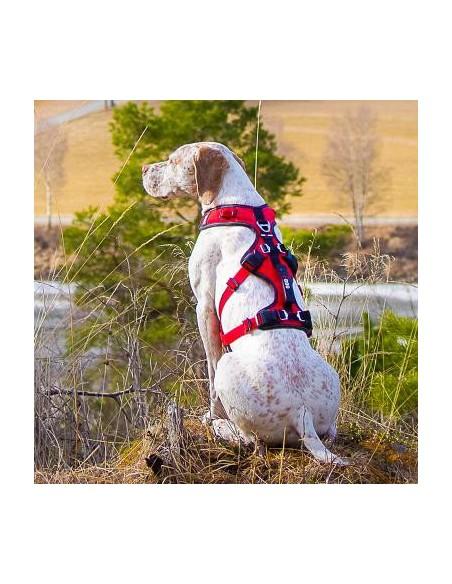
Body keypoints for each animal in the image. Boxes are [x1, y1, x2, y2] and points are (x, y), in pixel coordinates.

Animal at [143, 143, 344, 466]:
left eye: (173, 161)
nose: (144, 169)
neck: (235, 202)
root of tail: (302, 414)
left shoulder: (204, 307)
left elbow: (210, 374)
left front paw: (213, 417)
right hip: (330, 384)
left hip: (230, 369)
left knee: (250, 440)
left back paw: (224, 428)